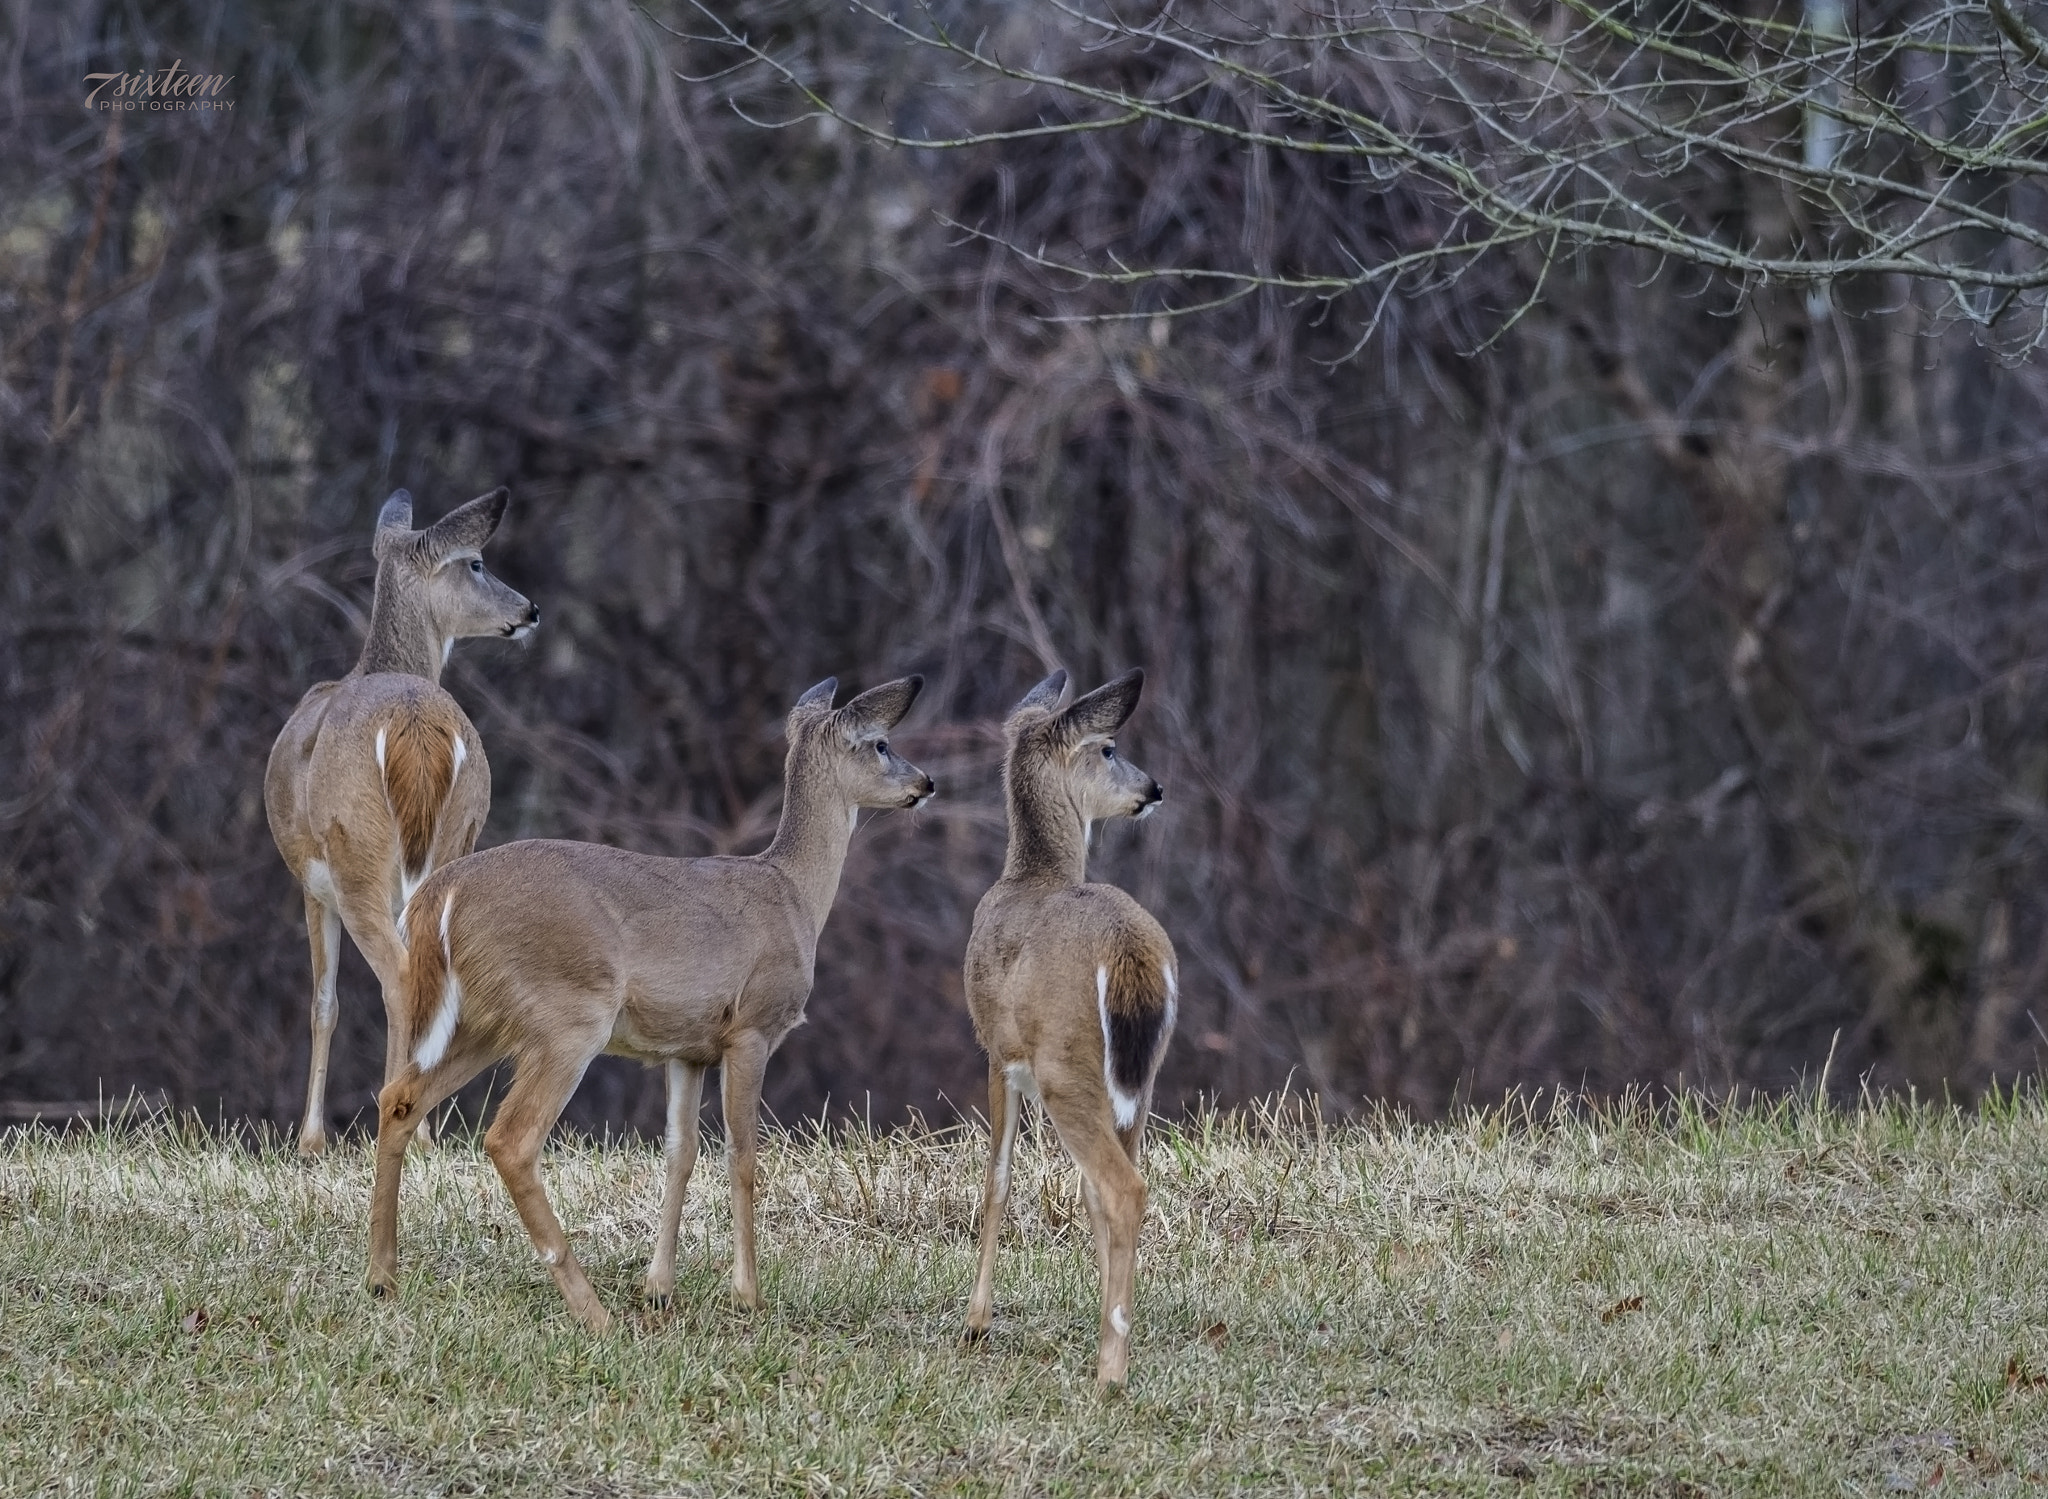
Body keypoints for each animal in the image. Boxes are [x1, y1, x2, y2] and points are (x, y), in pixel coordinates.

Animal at [264, 491, 536, 1163]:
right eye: (477, 563)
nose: (530, 609)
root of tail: (413, 724)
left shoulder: (312, 883)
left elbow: (324, 1002)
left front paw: (309, 1142)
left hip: (355, 851)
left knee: (399, 976)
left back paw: (393, 1124)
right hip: (456, 839)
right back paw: (426, 1131)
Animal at [366, 671, 937, 1326]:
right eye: (881, 744)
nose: (926, 783)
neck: (794, 894)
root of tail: (439, 895)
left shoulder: (686, 1049)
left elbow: (679, 1153)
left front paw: (659, 1286)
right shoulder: (752, 1027)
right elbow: (743, 1154)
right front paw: (747, 1294)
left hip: (483, 1021)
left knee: (400, 1097)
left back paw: (382, 1276)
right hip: (568, 1015)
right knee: (509, 1139)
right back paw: (592, 1311)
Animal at [962, 671, 1179, 1392]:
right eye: (1109, 748)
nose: (1153, 788)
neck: (1030, 874)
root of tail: (1129, 951)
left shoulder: (998, 1052)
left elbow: (997, 1178)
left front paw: (975, 1321)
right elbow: (1077, 1197)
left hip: (1064, 1067)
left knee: (1125, 1187)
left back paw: (1110, 1370)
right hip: (1141, 1078)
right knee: (1116, 1185)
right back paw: (1116, 1342)